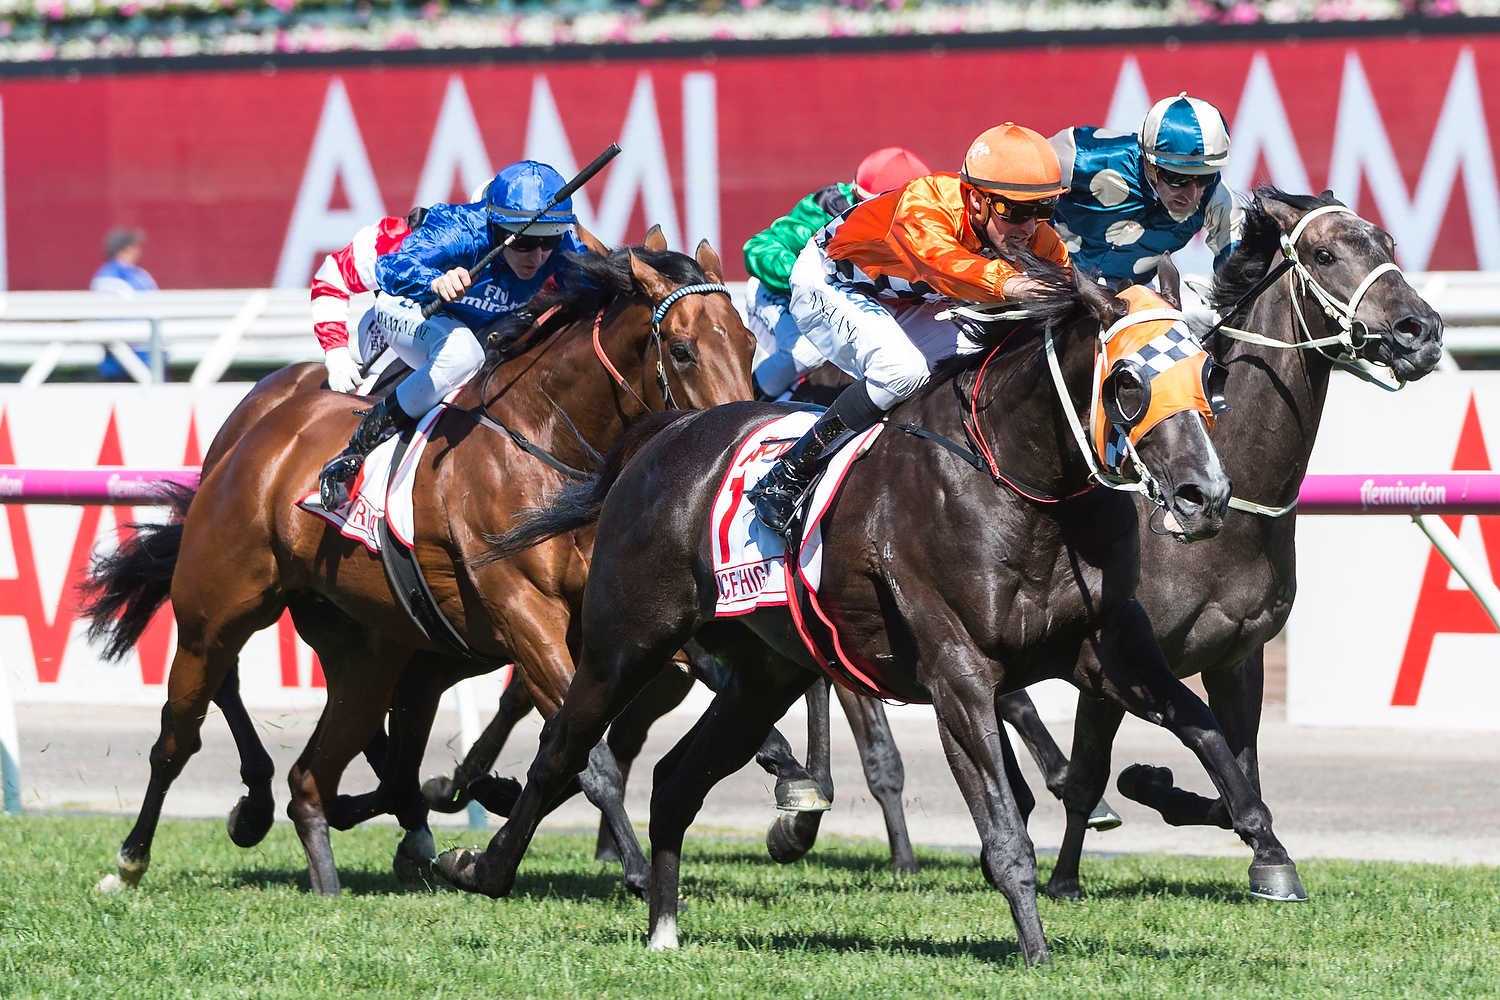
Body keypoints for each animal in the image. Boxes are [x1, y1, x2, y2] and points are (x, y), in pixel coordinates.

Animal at [82, 242, 756, 899]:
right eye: (682, 350)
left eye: (750, 342)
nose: (732, 437)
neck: (546, 446)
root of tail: (256, 438)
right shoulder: (524, 613)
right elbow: (586, 756)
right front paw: (635, 870)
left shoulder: (612, 627)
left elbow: (574, 741)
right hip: (216, 611)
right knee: (182, 731)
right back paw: (138, 856)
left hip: (365, 649)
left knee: (321, 764)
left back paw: (340, 858)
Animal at [432, 269, 1290, 965]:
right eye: (1128, 382)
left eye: (1207, 374)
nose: (1203, 496)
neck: (1025, 486)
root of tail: (660, 435)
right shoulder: (957, 672)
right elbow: (1003, 825)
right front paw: (1036, 948)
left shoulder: (1111, 649)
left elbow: (1212, 739)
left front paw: (1268, 850)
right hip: (626, 643)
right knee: (562, 750)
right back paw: (476, 866)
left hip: (763, 674)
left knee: (676, 781)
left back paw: (664, 927)